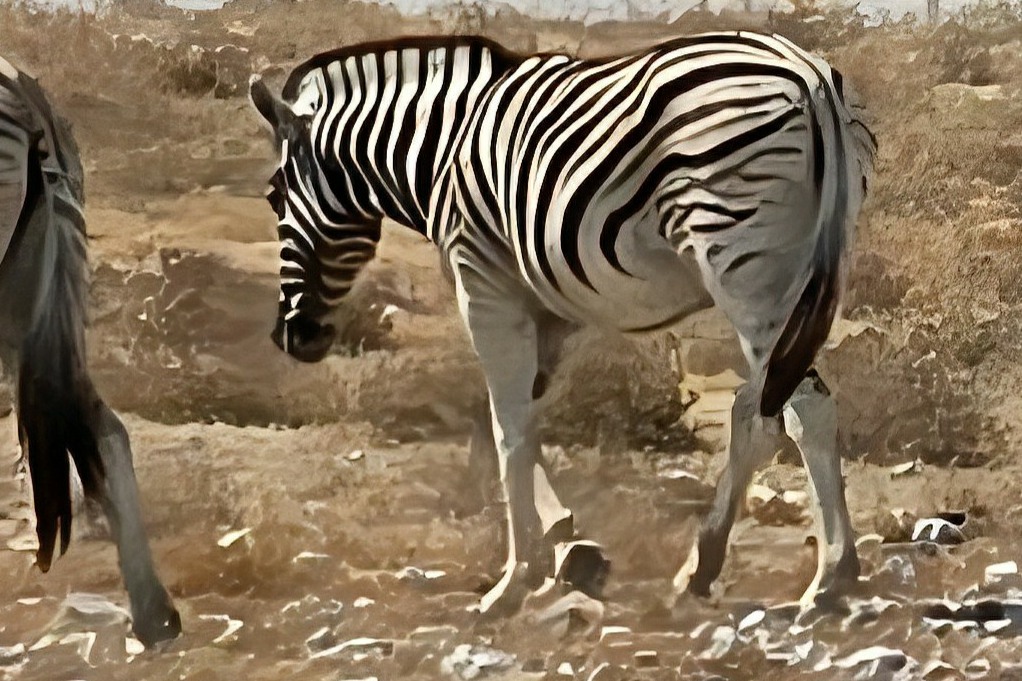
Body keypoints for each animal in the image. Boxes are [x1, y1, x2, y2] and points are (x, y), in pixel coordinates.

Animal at [250, 31, 876, 612]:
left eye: (275, 197)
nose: (291, 338)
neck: (441, 146)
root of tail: (807, 74)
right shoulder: (550, 307)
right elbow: (522, 419)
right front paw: (566, 544)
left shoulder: (484, 283)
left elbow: (506, 427)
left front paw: (514, 580)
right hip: (800, 274)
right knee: (760, 410)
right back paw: (707, 567)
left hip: (746, 267)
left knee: (800, 409)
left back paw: (829, 579)